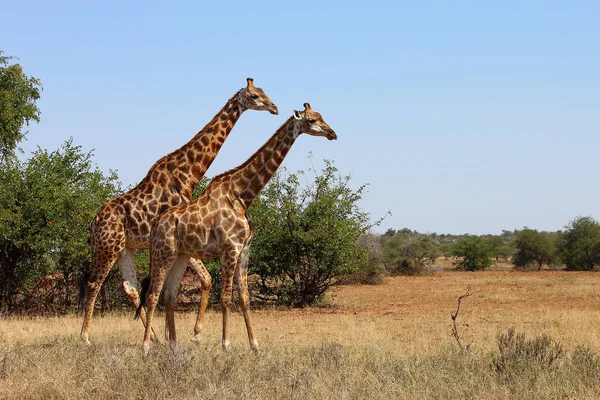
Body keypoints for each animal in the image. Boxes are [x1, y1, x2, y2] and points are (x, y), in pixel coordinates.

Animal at [78, 77, 278, 344]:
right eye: (255, 96)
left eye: (264, 92)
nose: (274, 108)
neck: (187, 175)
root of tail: (93, 223)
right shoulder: (181, 238)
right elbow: (200, 280)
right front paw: (191, 333)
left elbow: (199, 281)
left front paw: (177, 334)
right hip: (107, 247)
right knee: (94, 284)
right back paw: (85, 337)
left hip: (124, 249)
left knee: (129, 287)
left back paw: (153, 337)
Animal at [138, 102, 340, 354]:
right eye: (312, 120)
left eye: (321, 116)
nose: (333, 133)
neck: (242, 195)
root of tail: (156, 224)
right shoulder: (230, 249)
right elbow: (226, 297)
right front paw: (226, 344)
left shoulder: (244, 250)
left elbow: (244, 297)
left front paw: (255, 345)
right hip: (162, 253)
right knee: (152, 295)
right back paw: (146, 347)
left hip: (181, 256)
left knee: (169, 295)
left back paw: (173, 346)